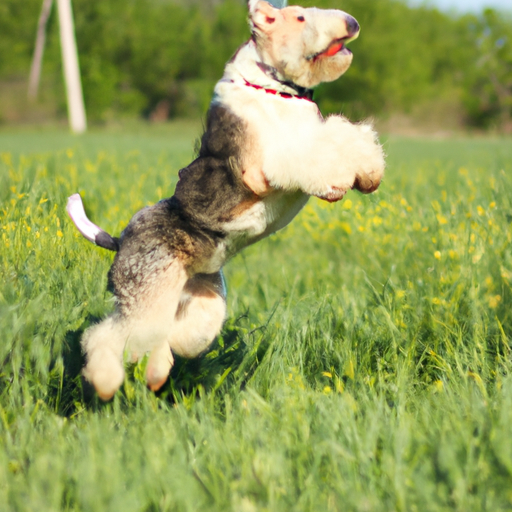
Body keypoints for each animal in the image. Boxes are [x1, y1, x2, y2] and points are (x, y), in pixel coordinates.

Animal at [68, 0, 384, 400]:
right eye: (299, 17)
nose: (352, 22)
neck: (273, 89)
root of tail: (119, 239)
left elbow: (348, 136)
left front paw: (370, 174)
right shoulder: (267, 163)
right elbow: (318, 153)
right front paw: (339, 182)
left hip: (197, 304)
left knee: (167, 338)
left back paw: (155, 375)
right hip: (148, 294)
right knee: (105, 336)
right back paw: (105, 383)